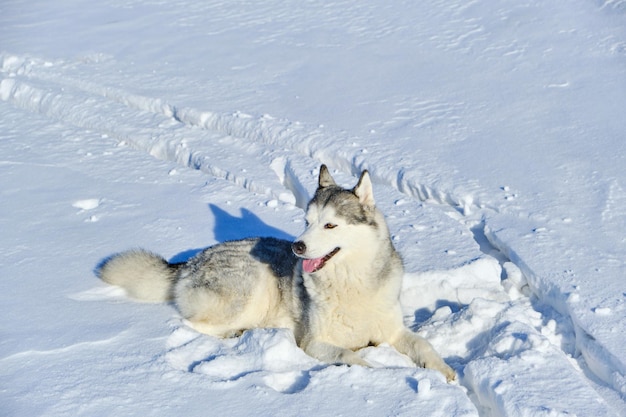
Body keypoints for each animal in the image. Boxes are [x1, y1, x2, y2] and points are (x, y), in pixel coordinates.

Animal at [100, 164, 456, 378]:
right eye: (307, 222)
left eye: (330, 225)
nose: (297, 246)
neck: (351, 283)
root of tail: (190, 261)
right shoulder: (312, 343)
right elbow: (351, 356)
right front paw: (380, 372)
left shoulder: (393, 332)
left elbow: (424, 345)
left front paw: (444, 370)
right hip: (250, 289)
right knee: (190, 324)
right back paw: (238, 334)